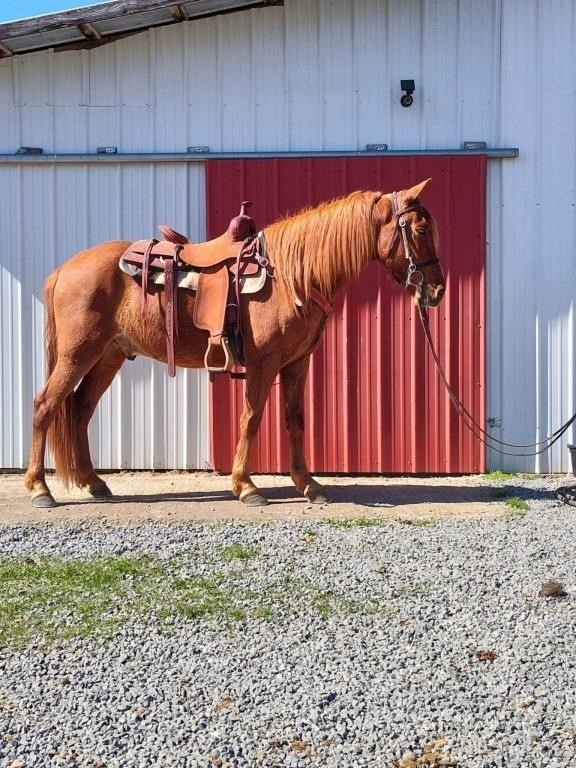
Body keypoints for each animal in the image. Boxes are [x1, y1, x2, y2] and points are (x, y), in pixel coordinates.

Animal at [24, 177, 446, 508]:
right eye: (421, 231)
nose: (437, 291)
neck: (293, 275)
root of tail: (64, 270)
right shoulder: (263, 364)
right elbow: (252, 418)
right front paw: (246, 486)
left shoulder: (297, 363)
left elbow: (294, 421)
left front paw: (308, 484)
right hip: (78, 354)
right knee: (46, 405)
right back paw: (39, 489)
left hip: (107, 356)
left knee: (80, 409)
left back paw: (94, 482)